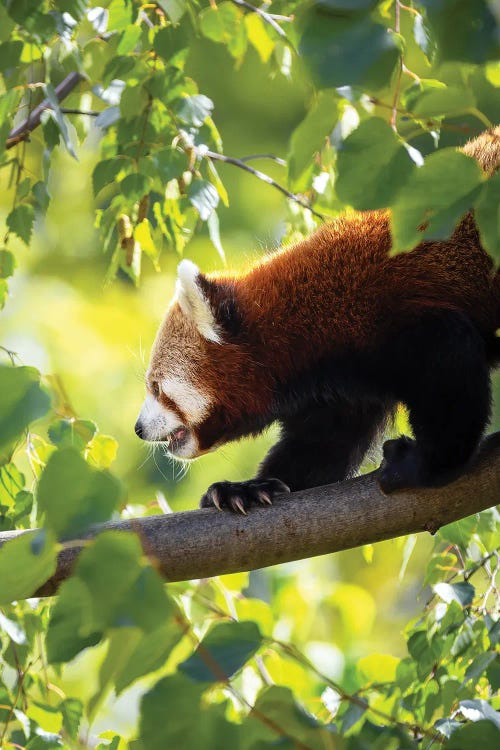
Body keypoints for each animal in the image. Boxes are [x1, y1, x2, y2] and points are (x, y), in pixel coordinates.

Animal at [135, 131, 500, 516]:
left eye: (157, 388)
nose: (138, 429)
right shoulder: (345, 387)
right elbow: (323, 444)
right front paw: (245, 489)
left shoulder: (400, 321)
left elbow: (450, 373)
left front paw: (421, 465)